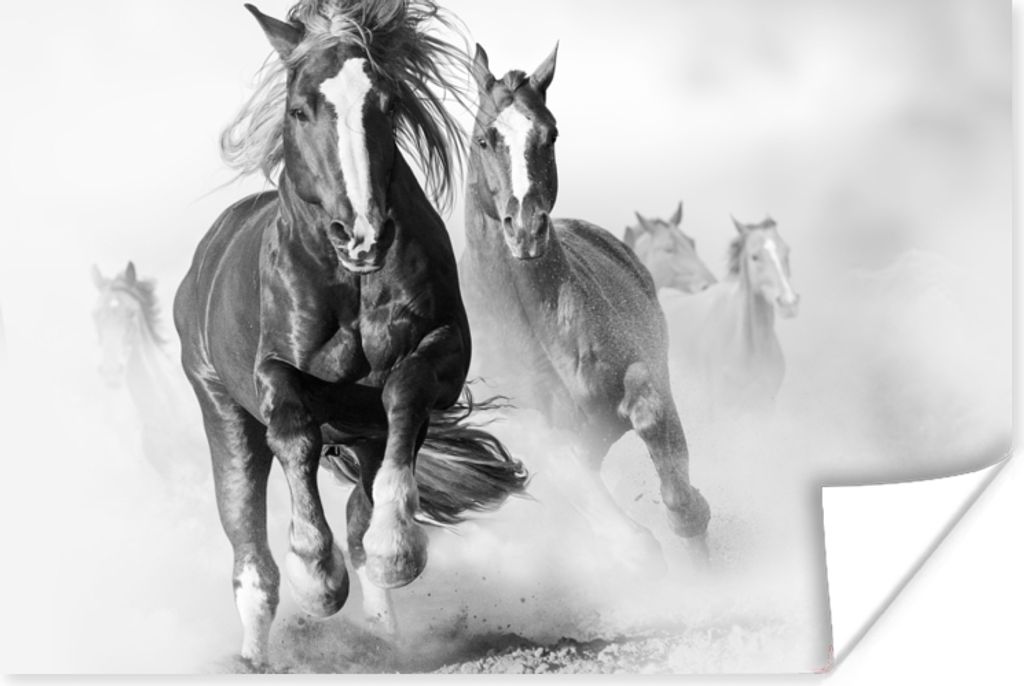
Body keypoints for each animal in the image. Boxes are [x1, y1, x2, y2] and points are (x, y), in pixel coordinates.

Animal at [174, 1, 526, 669]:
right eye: (299, 109)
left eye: (386, 104)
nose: (361, 234)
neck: (351, 283)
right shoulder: (272, 374)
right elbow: (293, 430)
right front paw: (317, 576)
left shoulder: (442, 353)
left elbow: (405, 393)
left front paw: (397, 548)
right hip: (220, 411)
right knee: (249, 548)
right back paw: (256, 656)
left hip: (361, 437)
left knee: (361, 511)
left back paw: (386, 634)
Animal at [458, 44, 710, 572]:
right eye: (485, 138)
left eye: (550, 133)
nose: (526, 229)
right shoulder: (543, 443)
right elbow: (623, 534)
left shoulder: (644, 376)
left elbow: (653, 420)